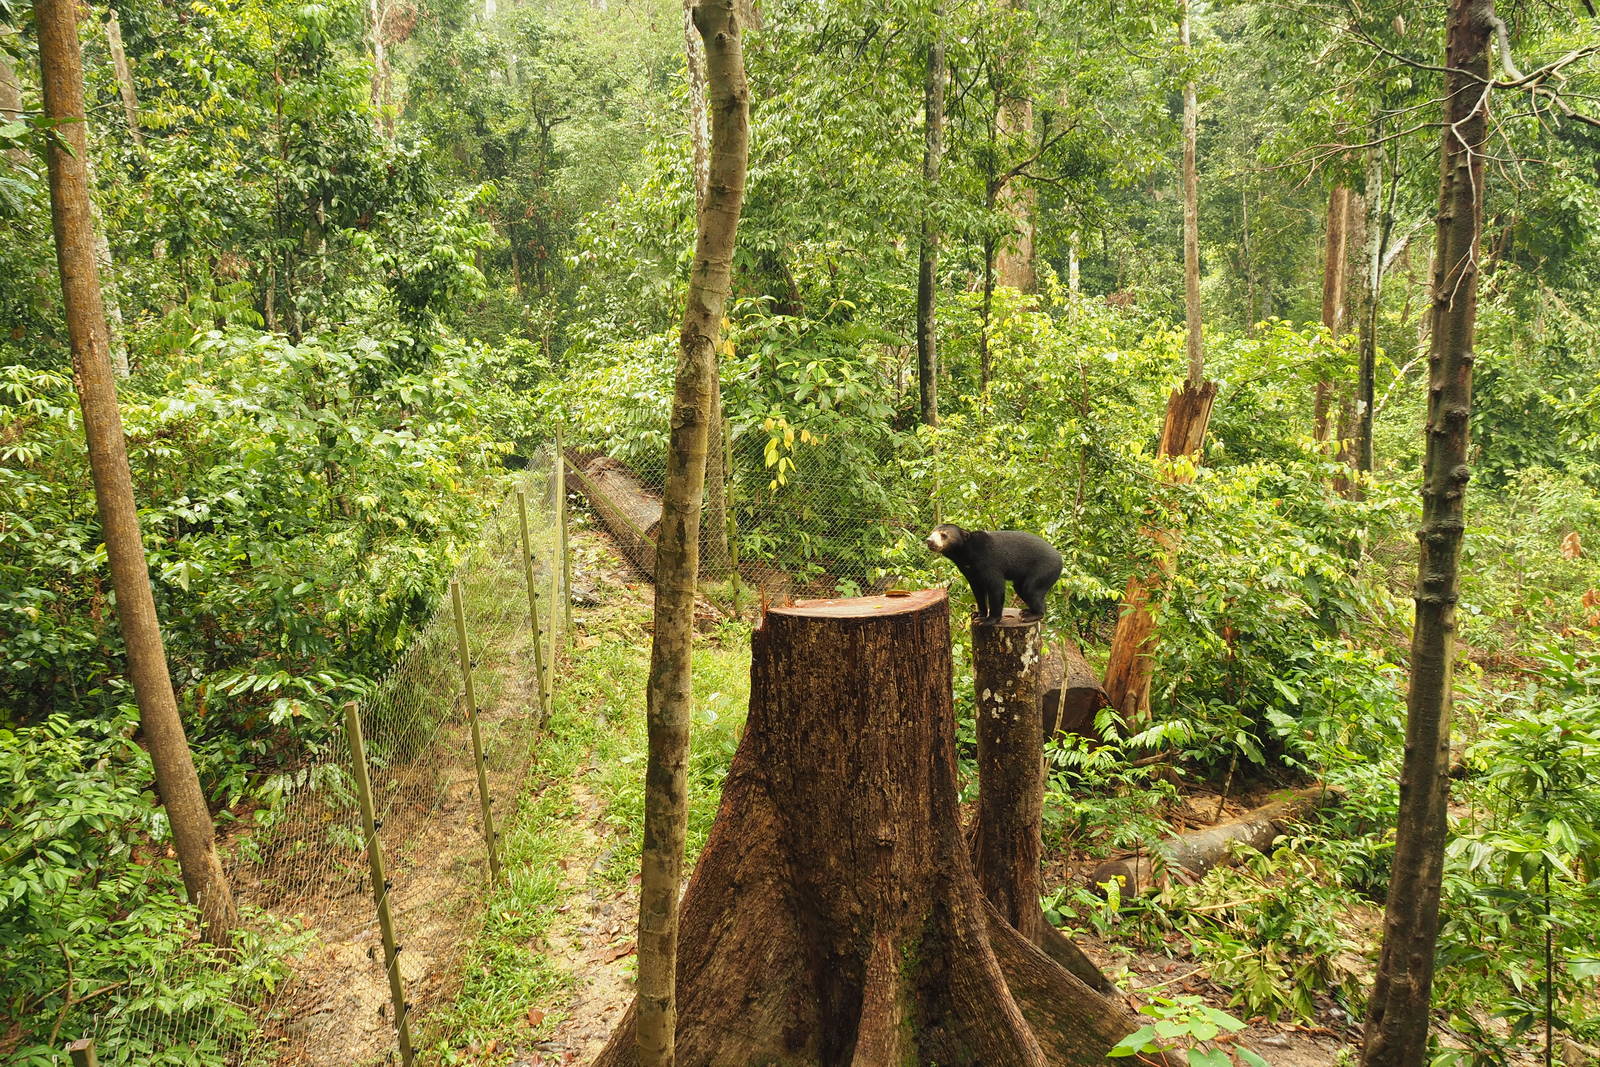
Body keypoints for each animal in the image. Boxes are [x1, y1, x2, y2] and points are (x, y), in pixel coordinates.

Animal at [924, 523, 1063, 622]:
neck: (965, 554)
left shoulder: (989, 562)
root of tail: (1060, 558)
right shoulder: (970, 572)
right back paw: (1026, 611)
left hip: (1044, 570)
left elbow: (996, 587)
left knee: (1031, 590)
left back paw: (1031, 615)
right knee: (1021, 589)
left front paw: (988, 620)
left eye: (943, 535)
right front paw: (977, 615)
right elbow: (978, 592)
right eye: (932, 532)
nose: (929, 541)